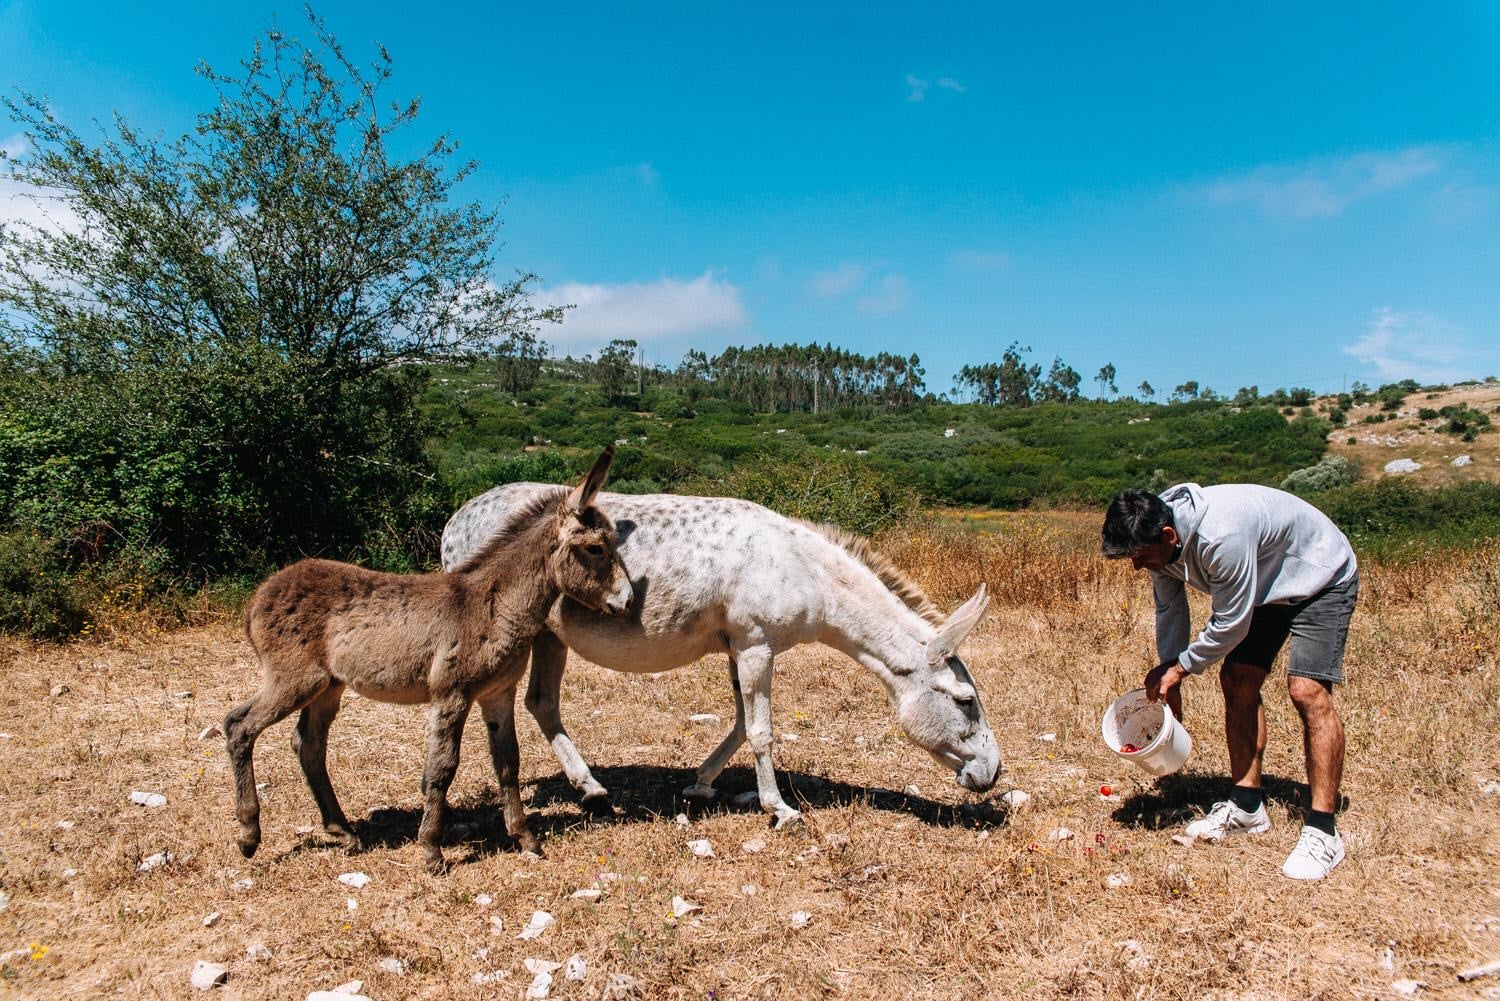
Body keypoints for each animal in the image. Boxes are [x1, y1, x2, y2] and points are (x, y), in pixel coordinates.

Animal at [222, 450, 627, 870]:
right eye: (596, 548)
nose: (626, 601)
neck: (496, 605)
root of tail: (262, 593)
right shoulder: (451, 694)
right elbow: (442, 768)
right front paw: (432, 849)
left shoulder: (498, 693)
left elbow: (508, 763)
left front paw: (524, 837)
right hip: (295, 680)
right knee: (238, 725)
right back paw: (249, 835)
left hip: (329, 686)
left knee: (308, 744)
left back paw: (343, 831)